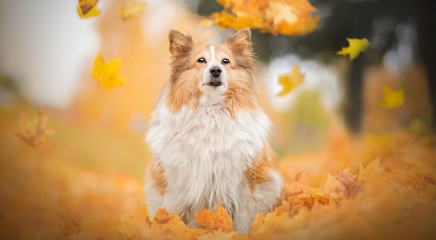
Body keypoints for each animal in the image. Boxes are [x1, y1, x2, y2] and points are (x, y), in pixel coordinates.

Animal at [144, 28, 282, 234]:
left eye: (226, 61)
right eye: (201, 60)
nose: (216, 70)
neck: (211, 110)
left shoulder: (245, 180)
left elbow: (243, 218)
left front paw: (241, 235)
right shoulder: (176, 181)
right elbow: (173, 212)